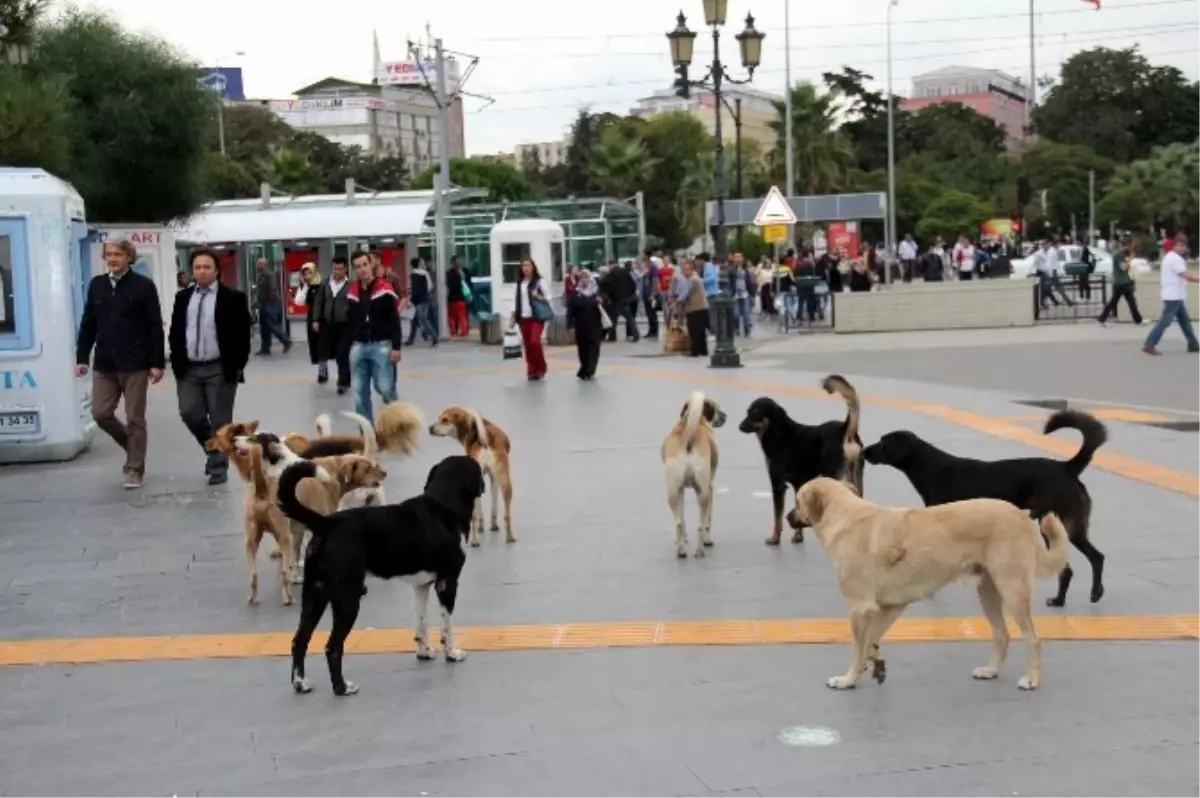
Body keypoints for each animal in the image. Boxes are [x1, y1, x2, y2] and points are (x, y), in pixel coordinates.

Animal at [278, 451, 484, 696]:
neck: (444, 505)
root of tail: (326, 523)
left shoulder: (421, 586)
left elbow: (421, 623)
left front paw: (424, 652)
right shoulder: (447, 582)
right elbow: (447, 627)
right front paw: (452, 654)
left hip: (314, 593)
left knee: (299, 640)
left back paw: (301, 683)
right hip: (348, 598)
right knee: (332, 647)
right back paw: (341, 687)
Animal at [429, 408, 513, 544]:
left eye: (445, 420)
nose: (430, 428)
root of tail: (486, 440)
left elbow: (479, 511)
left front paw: (481, 527)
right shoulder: (493, 478)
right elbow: (494, 506)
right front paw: (494, 525)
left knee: (473, 516)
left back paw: (475, 541)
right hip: (506, 482)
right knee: (507, 514)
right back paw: (510, 536)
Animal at [662, 391, 724, 554]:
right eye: (717, 408)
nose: (725, 416)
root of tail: (688, 437)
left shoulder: (681, 490)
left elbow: (682, 519)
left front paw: (683, 540)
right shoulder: (709, 488)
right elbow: (708, 521)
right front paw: (708, 540)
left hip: (673, 493)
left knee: (678, 523)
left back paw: (682, 551)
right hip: (704, 493)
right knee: (700, 525)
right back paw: (700, 550)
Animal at [787, 475, 1070, 686]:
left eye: (797, 500)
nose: (789, 517)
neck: (846, 518)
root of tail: (1021, 516)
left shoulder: (859, 608)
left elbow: (857, 648)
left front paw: (848, 679)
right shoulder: (891, 606)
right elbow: (871, 641)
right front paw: (875, 664)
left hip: (1012, 592)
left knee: (1034, 639)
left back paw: (1032, 679)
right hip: (988, 593)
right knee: (1003, 635)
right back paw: (990, 671)